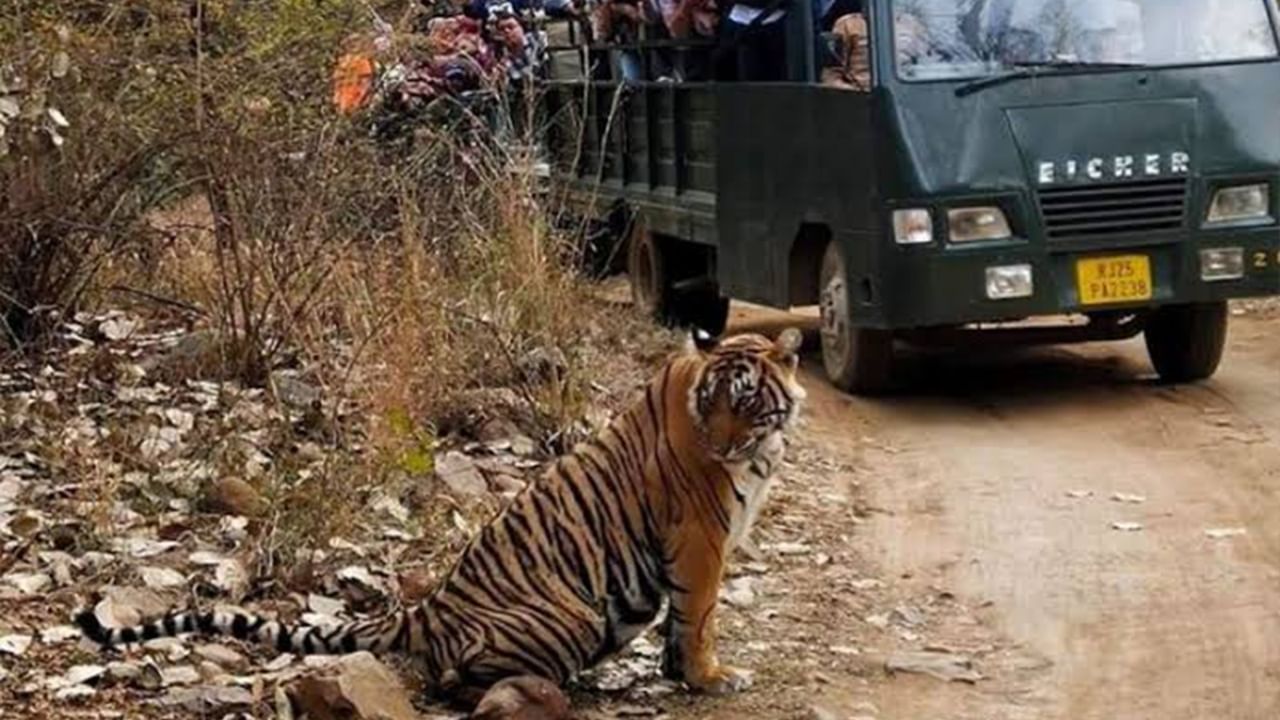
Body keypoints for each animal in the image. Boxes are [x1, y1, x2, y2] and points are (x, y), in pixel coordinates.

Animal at [74, 326, 803, 707]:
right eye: (712, 402)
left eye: (743, 401)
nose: (721, 444)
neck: (761, 448)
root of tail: (424, 611)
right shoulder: (701, 539)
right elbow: (700, 617)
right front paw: (712, 677)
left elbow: (685, 624)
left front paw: (682, 676)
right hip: (573, 614)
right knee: (459, 680)